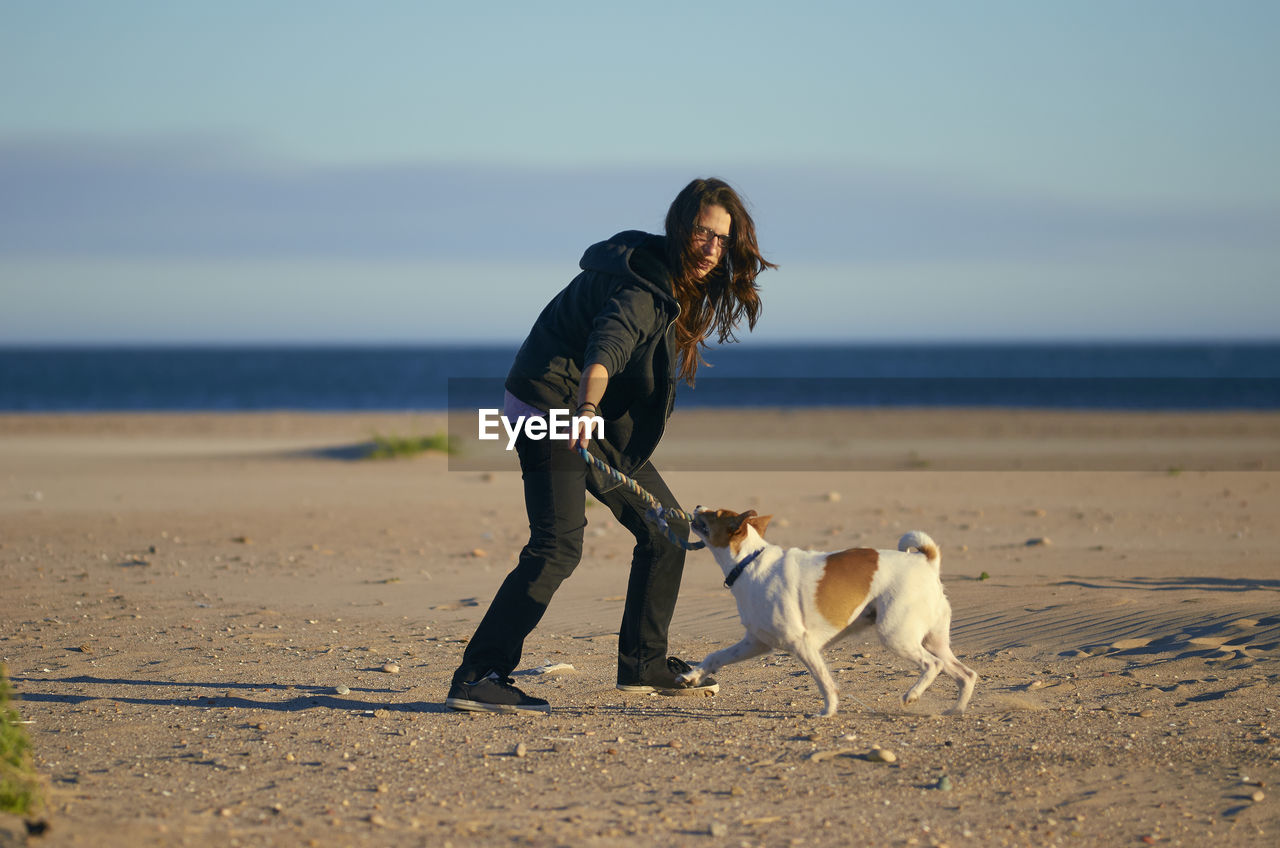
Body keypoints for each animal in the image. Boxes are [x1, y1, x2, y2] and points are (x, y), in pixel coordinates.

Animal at [686, 512, 972, 717]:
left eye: (715, 513)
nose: (698, 506)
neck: (749, 563)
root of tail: (926, 562)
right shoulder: (755, 643)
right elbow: (714, 657)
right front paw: (692, 677)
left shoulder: (802, 644)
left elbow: (824, 682)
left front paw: (828, 711)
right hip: (933, 642)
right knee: (966, 675)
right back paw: (955, 711)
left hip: (896, 635)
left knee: (933, 665)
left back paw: (912, 696)